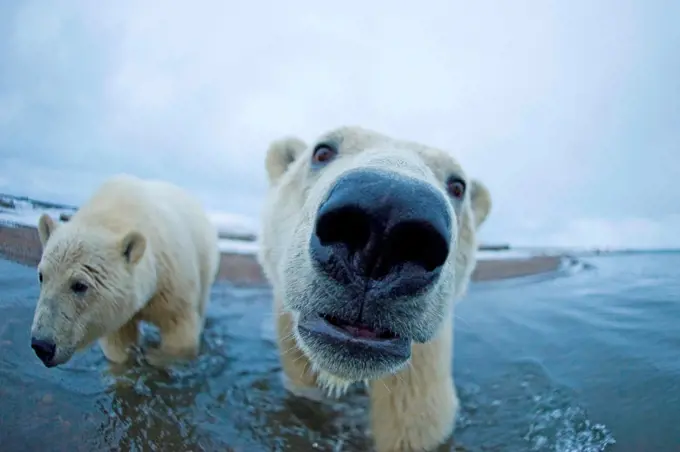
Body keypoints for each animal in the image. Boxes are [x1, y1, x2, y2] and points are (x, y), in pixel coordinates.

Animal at [30, 175, 219, 370]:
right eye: (41, 276)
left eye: (80, 285)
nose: (42, 346)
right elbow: (119, 347)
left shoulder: (172, 282)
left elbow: (179, 332)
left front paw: (153, 358)